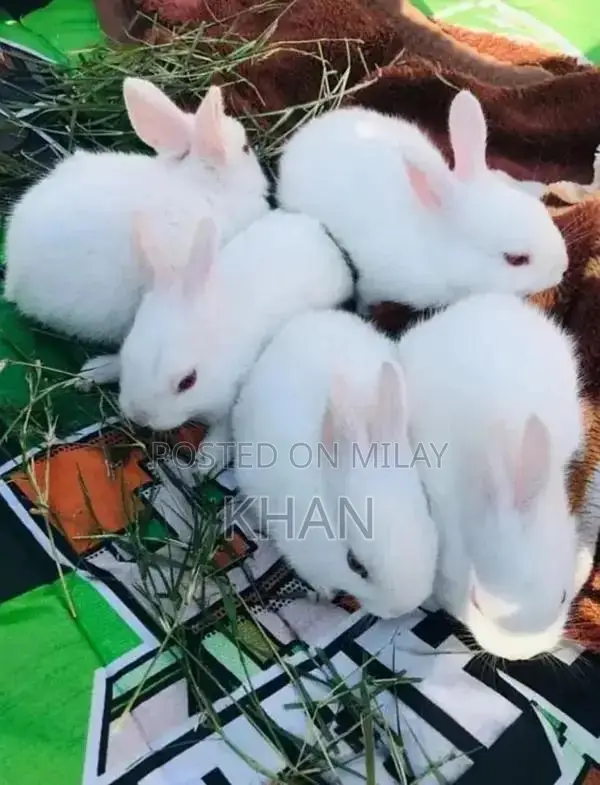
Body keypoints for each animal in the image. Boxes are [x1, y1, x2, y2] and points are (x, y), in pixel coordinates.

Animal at [116, 207, 353, 466]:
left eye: (188, 381)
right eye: (126, 351)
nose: (140, 416)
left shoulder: (235, 395)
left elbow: (226, 427)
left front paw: (208, 460)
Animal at [276, 89, 568, 313]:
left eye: (541, 211)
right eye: (516, 259)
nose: (563, 269)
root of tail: (304, 135)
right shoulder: (378, 283)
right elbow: (365, 297)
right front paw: (364, 313)